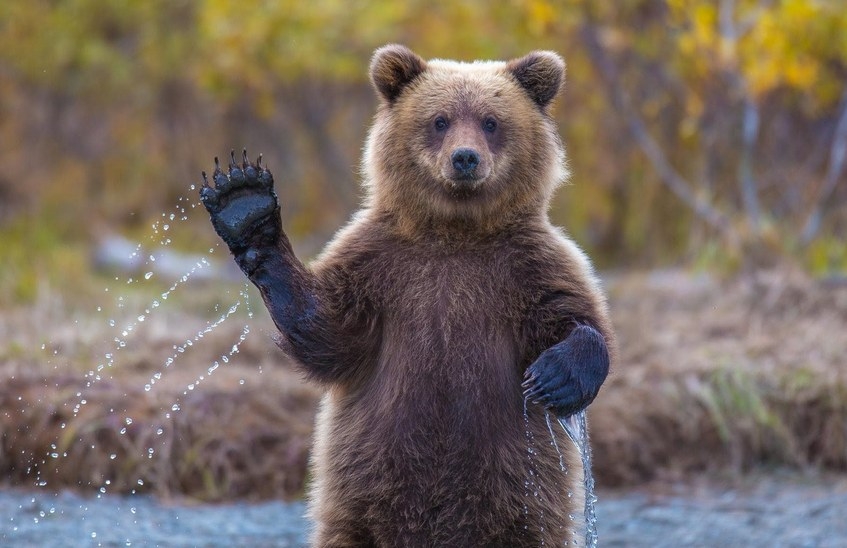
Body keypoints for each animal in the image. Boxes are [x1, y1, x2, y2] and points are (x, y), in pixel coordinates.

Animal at [202, 45, 620, 544]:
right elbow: (328, 332)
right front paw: (245, 204)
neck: (454, 231)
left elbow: (576, 316)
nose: (465, 158)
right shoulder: (381, 266)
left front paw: (554, 376)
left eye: (491, 121)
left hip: (522, 501)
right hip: (361, 499)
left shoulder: (528, 265)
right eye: (439, 120)